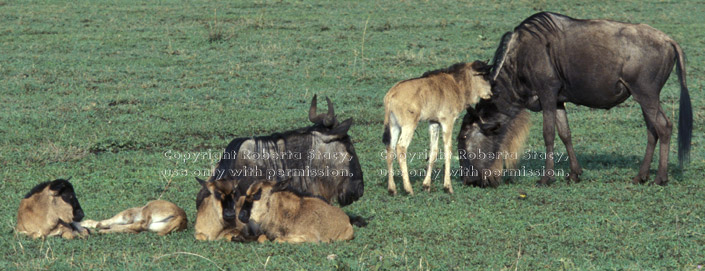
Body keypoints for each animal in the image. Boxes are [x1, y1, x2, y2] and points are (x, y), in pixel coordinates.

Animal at [382, 61, 492, 196]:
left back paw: (392, 189)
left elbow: (433, 152)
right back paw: (408, 189)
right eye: (484, 76)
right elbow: (448, 151)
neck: (456, 84)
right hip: (409, 125)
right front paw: (448, 187)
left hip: (394, 126)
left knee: (390, 149)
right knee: (401, 147)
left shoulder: (433, 123)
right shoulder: (448, 121)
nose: (490, 93)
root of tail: (391, 94)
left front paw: (426, 185)